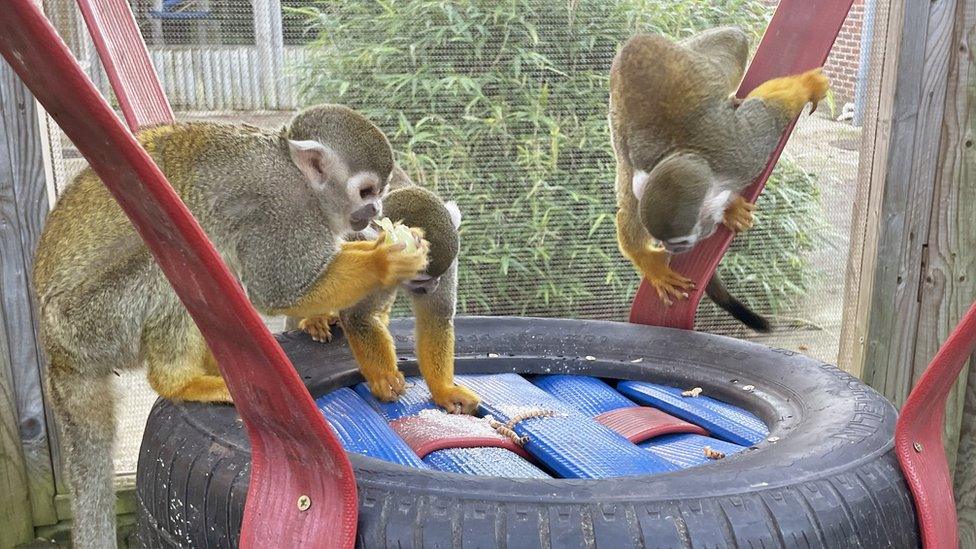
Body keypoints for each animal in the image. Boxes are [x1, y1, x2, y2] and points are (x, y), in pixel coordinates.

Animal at [31, 104, 428, 548]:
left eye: (379, 193)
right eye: (366, 191)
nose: (375, 212)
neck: (296, 172)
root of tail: (57, 352)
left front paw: (321, 314)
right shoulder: (284, 208)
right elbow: (278, 289)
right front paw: (385, 260)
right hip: (90, 323)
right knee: (170, 257)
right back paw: (180, 381)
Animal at [300, 165, 478, 414]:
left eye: (438, 277)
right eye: (420, 281)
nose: (432, 287)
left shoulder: (449, 263)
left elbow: (436, 318)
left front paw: (444, 390)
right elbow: (358, 317)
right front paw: (384, 378)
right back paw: (315, 317)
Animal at [608, 26, 832, 330]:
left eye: (680, 241)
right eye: (663, 240)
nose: (672, 249)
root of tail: (637, 41)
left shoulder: (744, 155)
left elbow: (767, 114)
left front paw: (806, 84)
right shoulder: (644, 178)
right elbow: (630, 208)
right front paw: (650, 264)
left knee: (734, 41)